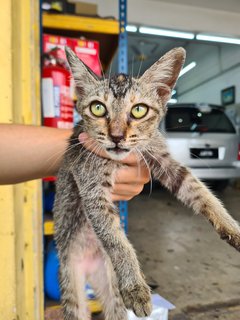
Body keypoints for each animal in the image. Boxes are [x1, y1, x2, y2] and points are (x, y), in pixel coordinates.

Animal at [54, 45, 240, 320]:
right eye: (98, 108)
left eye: (139, 110)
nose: (117, 136)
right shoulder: (91, 188)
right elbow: (115, 238)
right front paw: (135, 286)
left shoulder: (163, 160)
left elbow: (199, 190)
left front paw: (232, 227)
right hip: (70, 281)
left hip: (110, 287)